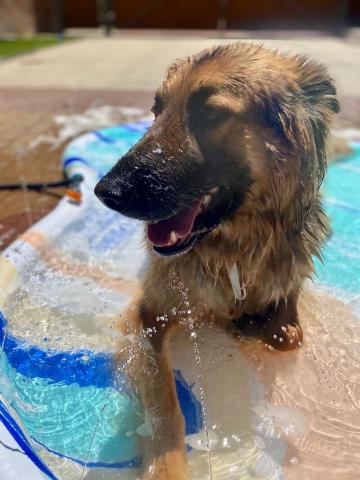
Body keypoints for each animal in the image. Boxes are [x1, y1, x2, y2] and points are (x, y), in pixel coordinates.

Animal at [94, 43, 338, 478]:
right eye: (157, 110)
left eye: (210, 114)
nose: (106, 191)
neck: (234, 249)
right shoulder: (147, 315)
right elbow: (165, 402)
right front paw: (167, 466)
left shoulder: (289, 287)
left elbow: (287, 333)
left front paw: (255, 325)